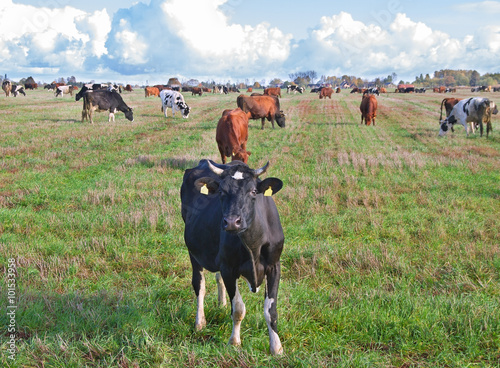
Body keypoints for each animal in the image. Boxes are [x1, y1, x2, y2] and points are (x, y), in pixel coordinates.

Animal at [182, 160, 286, 356]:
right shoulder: (229, 269)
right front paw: (234, 342)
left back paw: (221, 303)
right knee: (199, 285)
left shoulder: (274, 266)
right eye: (222, 192)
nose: (231, 222)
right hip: (194, 252)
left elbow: (271, 310)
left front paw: (276, 347)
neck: (253, 245)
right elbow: (238, 309)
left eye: (253, 191)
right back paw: (200, 322)